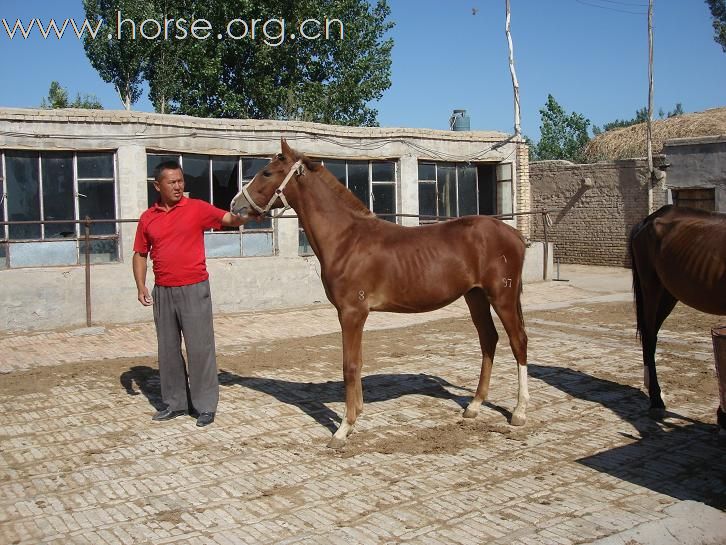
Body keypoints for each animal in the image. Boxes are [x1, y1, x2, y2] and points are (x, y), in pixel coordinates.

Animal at [235, 141, 536, 446]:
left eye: (267, 172)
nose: (236, 204)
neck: (346, 239)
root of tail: (514, 235)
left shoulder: (351, 313)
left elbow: (349, 365)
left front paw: (343, 428)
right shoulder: (355, 315)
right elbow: (358, 362)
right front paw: (355, 416)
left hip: (502, 297)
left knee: (518, 342)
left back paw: (519, 412)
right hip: (475, 296)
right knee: (489, 340)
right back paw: (473, 407)